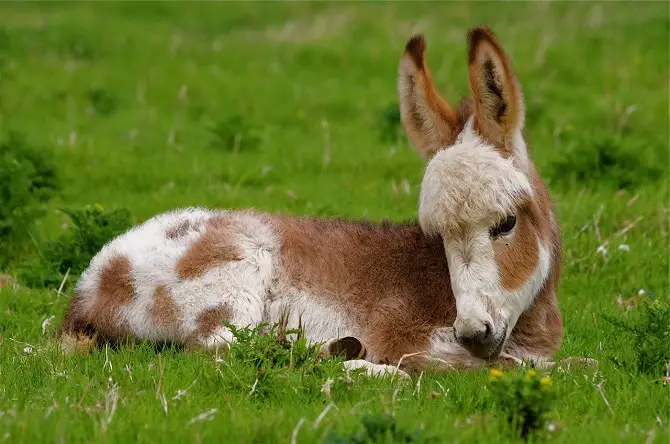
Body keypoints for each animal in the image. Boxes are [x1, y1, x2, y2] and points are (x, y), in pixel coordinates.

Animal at [59, 26, 592, 376]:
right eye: (439, 236)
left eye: (506, 223)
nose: (473, 332)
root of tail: (90, 285)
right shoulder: (414, 336)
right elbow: (542, 367)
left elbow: (572, 363)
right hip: (234, 276)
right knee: (229, 356)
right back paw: (362, 366)